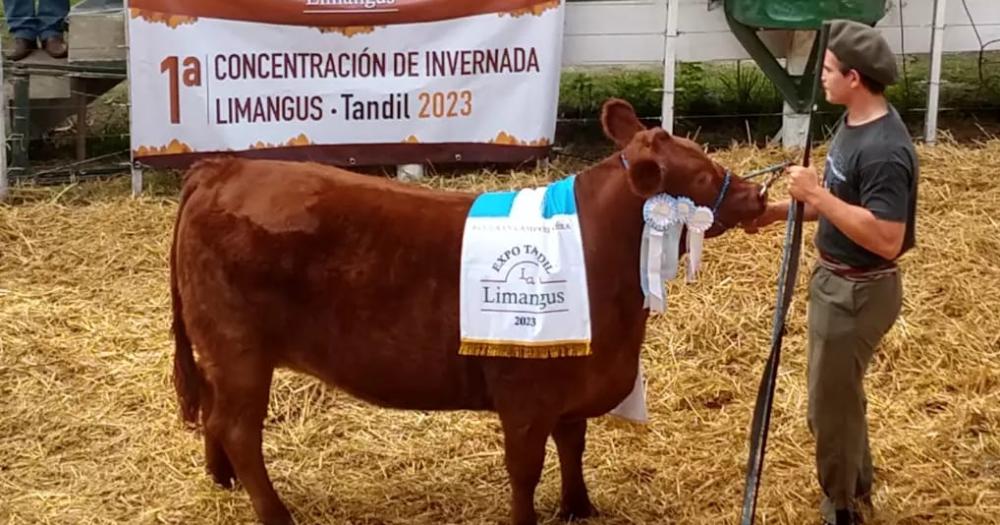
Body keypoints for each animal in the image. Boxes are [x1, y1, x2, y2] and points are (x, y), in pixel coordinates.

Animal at [172, 97, 764, 520]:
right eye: (704, 175)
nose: (757, 196)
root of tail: (220, 170)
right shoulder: (525, 394)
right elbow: (525, 470)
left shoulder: (574, 381)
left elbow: (573, 445)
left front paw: (579, 508)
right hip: (240, 350)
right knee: (238, 428)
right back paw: (275, 512)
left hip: (220, 353)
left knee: (213, 413)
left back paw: (221, 477)